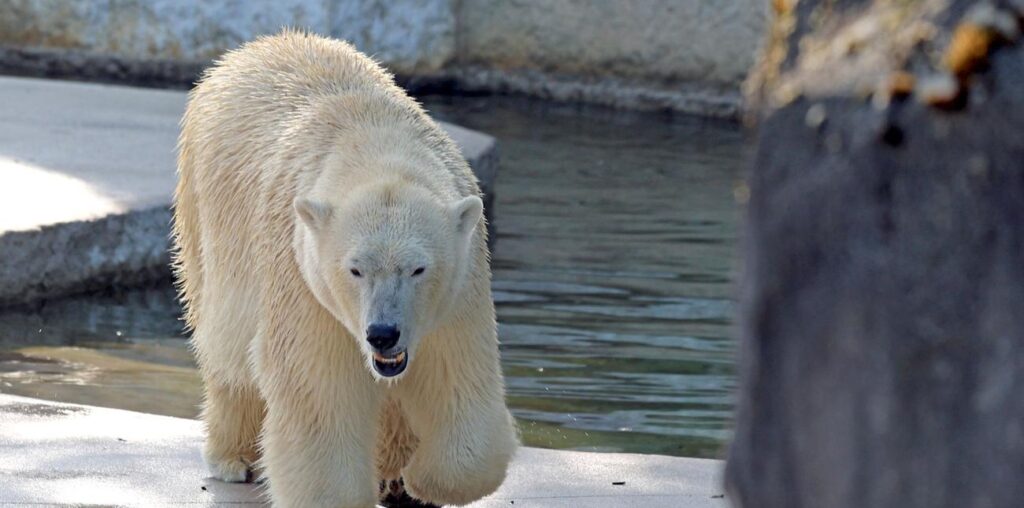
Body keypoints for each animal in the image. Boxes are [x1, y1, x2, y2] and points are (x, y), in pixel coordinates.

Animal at [172, 32, 520, 508]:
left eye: (418, 269)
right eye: (355, 270)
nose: (383, 333)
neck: (376, 139)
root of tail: (254, 47)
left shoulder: (460, 289)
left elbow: (457, 377)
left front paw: (421, 480)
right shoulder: (302, 275)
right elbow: (319, 389)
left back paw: (392, 471)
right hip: (206, 213)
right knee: (228, 348)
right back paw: (235, 457)